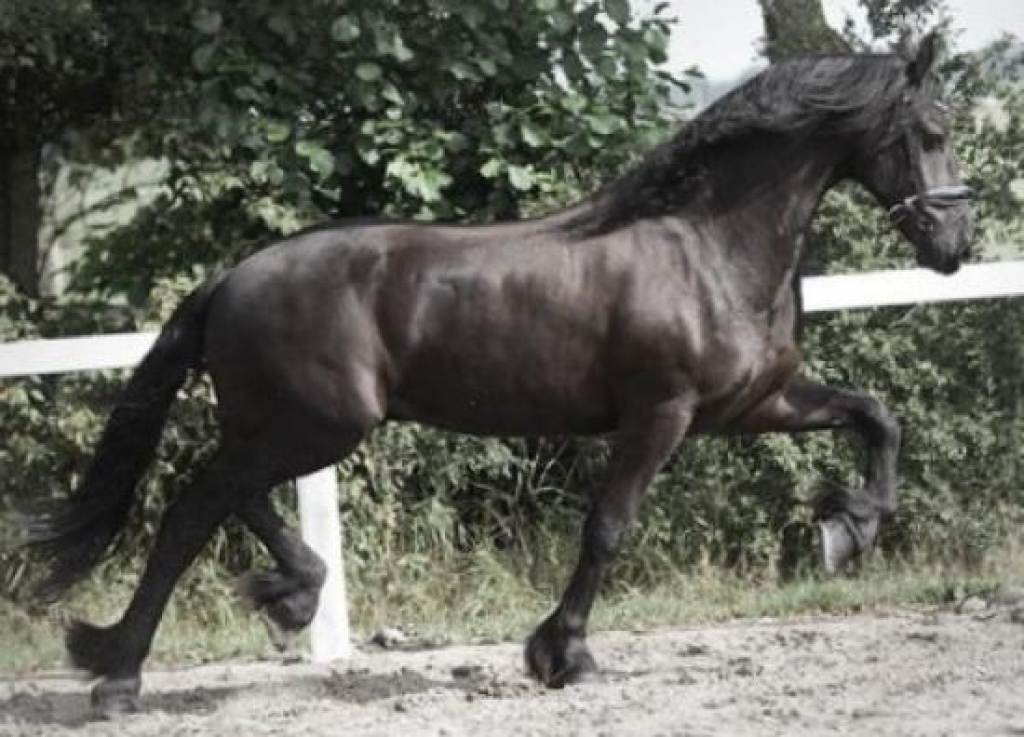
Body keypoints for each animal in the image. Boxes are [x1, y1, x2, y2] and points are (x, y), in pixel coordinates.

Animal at [19, 32, 972, 714]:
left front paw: (850, 524)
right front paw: (564, 654)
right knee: (193, 509)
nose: (956, 245)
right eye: (930, 133)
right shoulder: (660, 414)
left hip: (286, 424)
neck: (707, 245)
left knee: (223, 500)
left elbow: (876, 414)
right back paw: (124, 674)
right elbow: (608, 528)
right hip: (318, 424)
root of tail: (229, 278)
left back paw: (275, 600)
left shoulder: (750, 403)